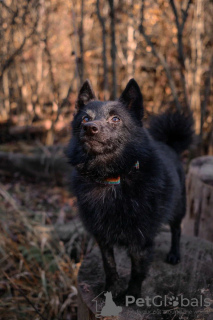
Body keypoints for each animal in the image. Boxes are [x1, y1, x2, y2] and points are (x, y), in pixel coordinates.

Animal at [67, 79, 194, 298]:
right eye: (85, 118)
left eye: (115, 119)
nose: (90, 128)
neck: (110, 177)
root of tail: (171, 146)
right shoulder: (102, 236)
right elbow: (109, 265)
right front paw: (110, 290)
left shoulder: (141, 240)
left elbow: (137, 271)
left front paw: (131, 296)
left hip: (179, 207)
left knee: (176, 229)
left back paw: (174, 254)